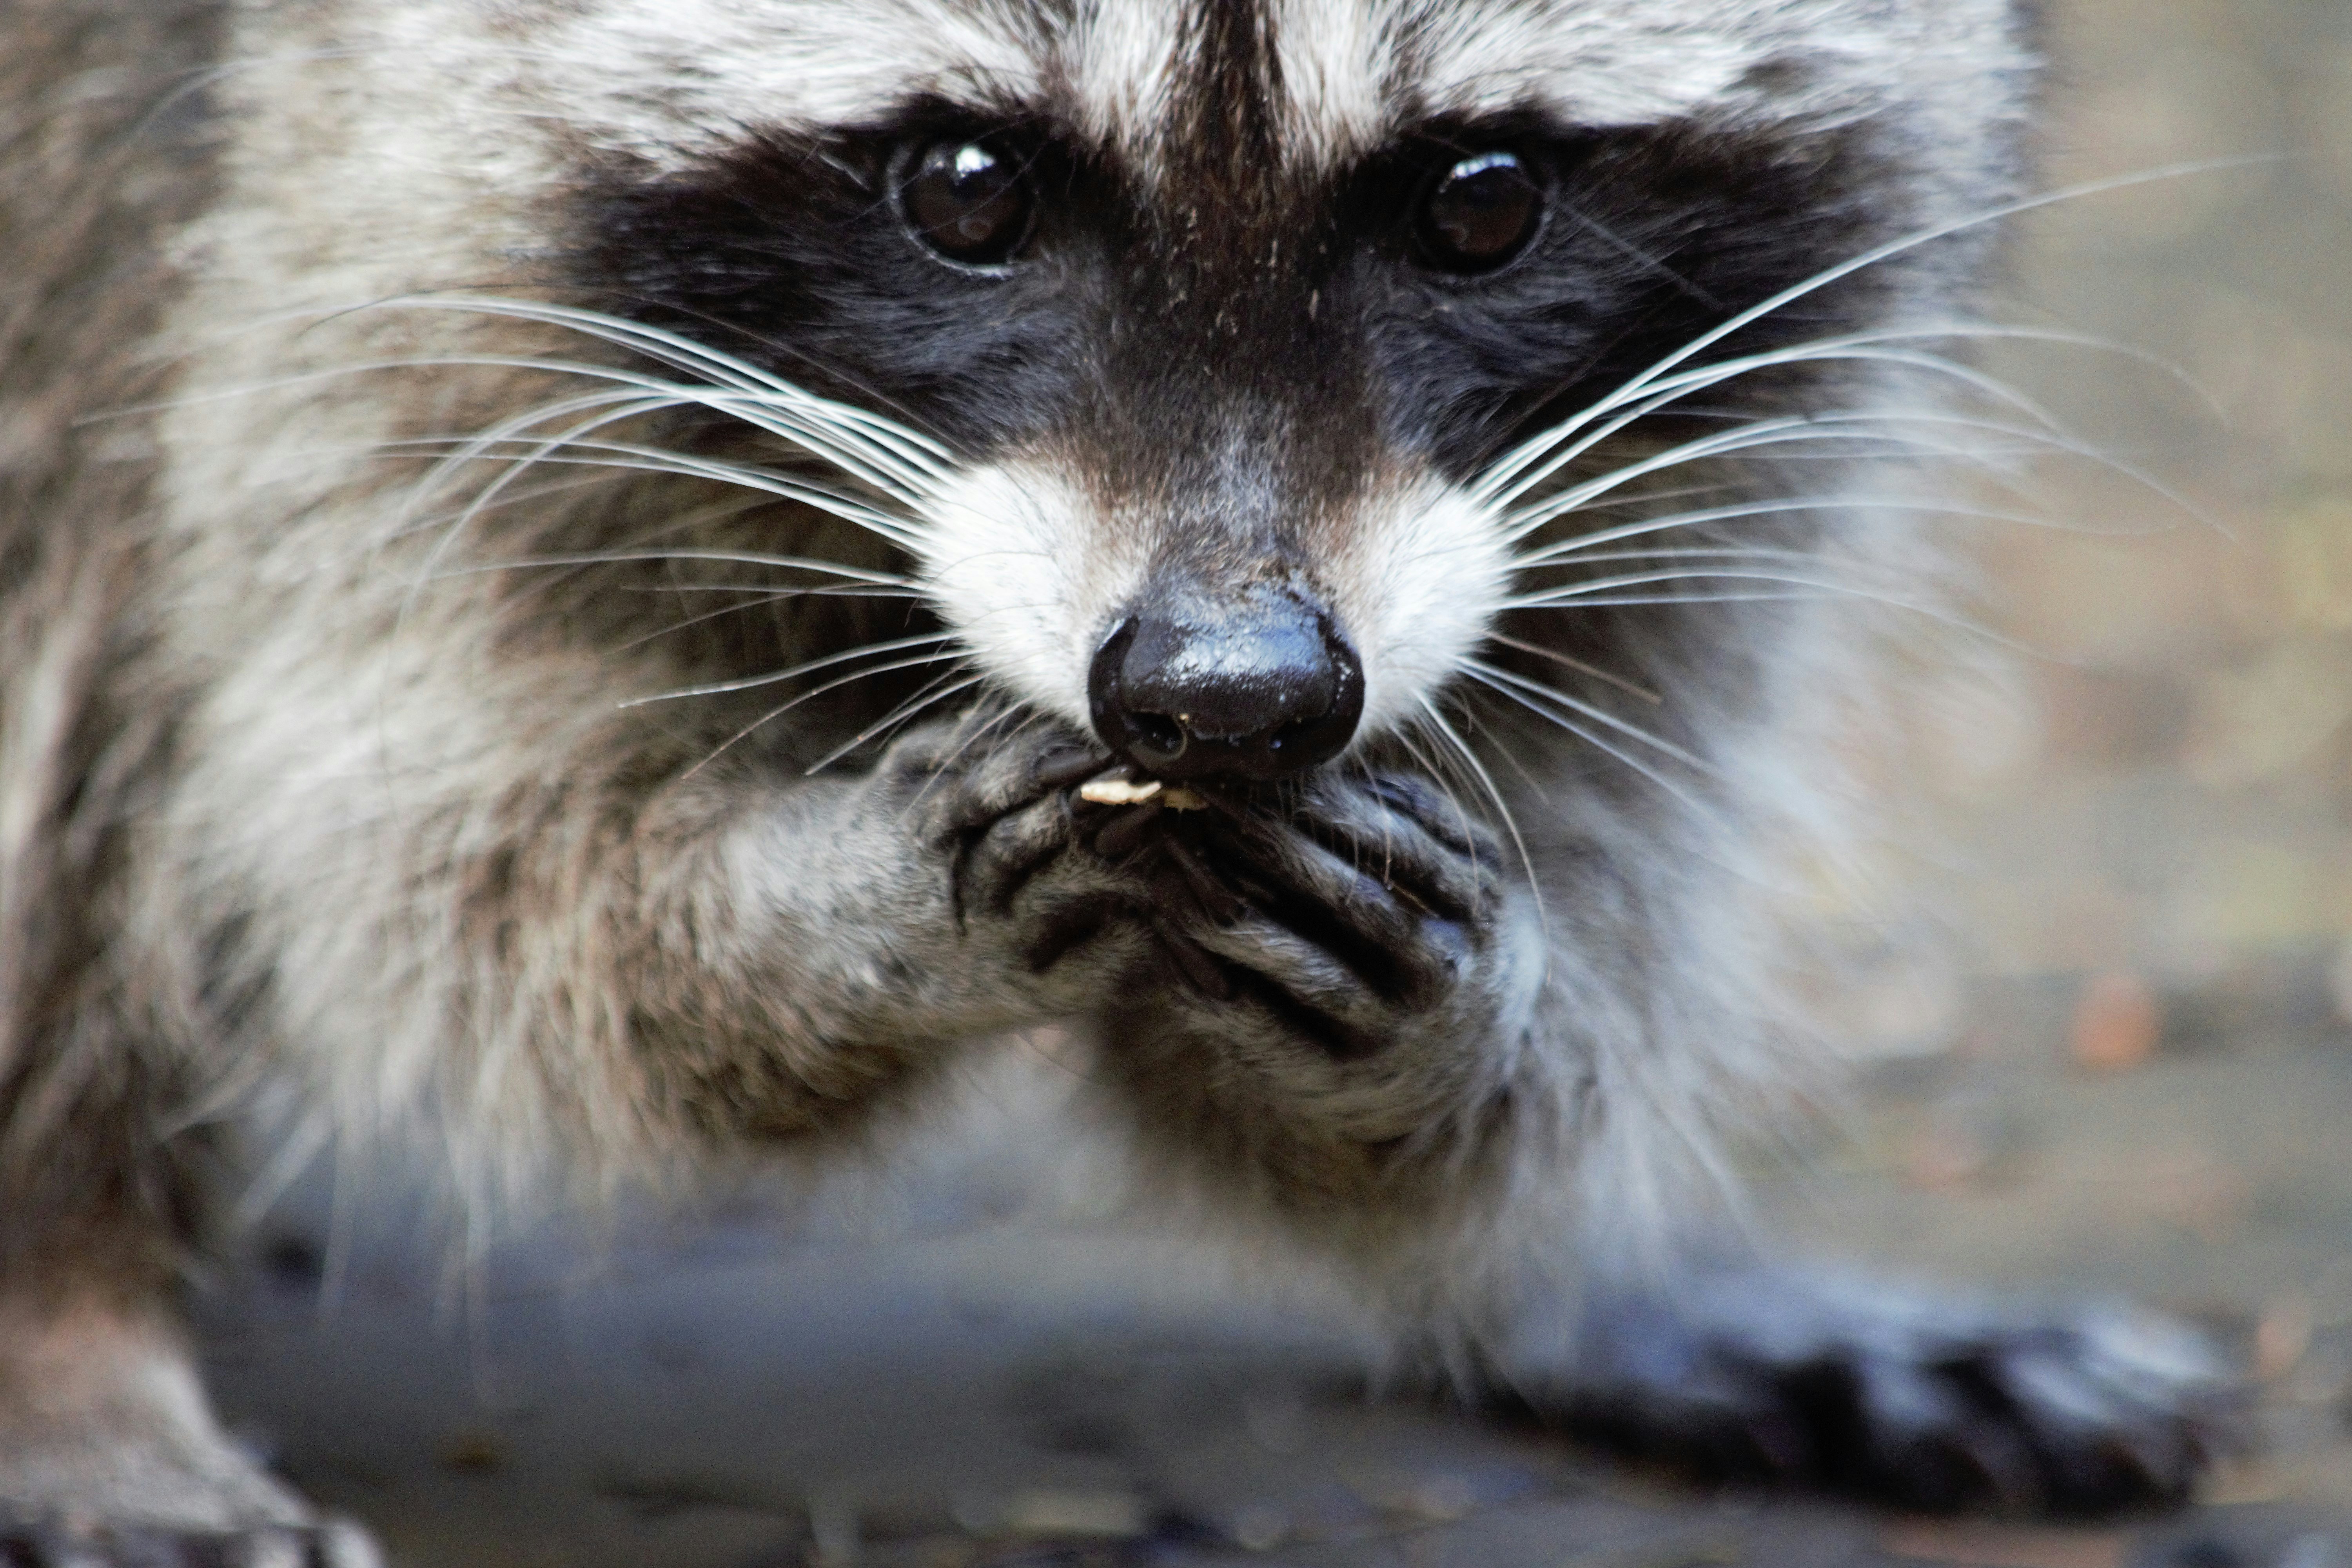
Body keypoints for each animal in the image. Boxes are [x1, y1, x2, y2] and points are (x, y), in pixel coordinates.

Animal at [0, 0, 2228, 1558]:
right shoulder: (346, 235)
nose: (1230, 698)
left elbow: (1593, 729)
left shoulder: (1707, 410)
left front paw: (1492, 1102)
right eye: (966, 187)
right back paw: (70, 1322)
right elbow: (411, 846)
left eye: (1483, 198)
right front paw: (807, 920)